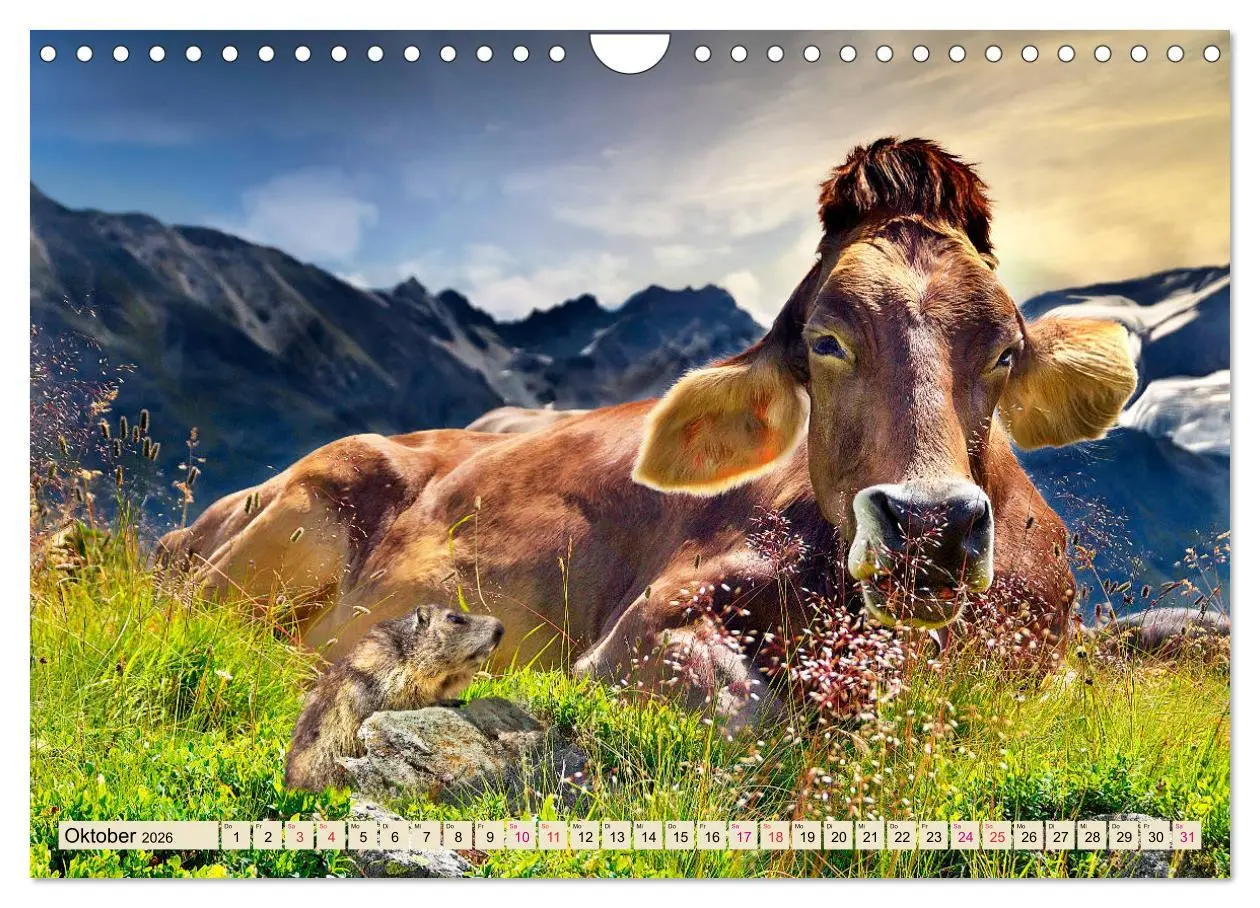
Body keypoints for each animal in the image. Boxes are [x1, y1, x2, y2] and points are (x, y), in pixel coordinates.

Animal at [158, 138, 1137, 726]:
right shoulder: (638, 630)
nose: (931, 524)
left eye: (1005, 347)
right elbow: (741, 708)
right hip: (291, 521)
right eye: (827, 340)